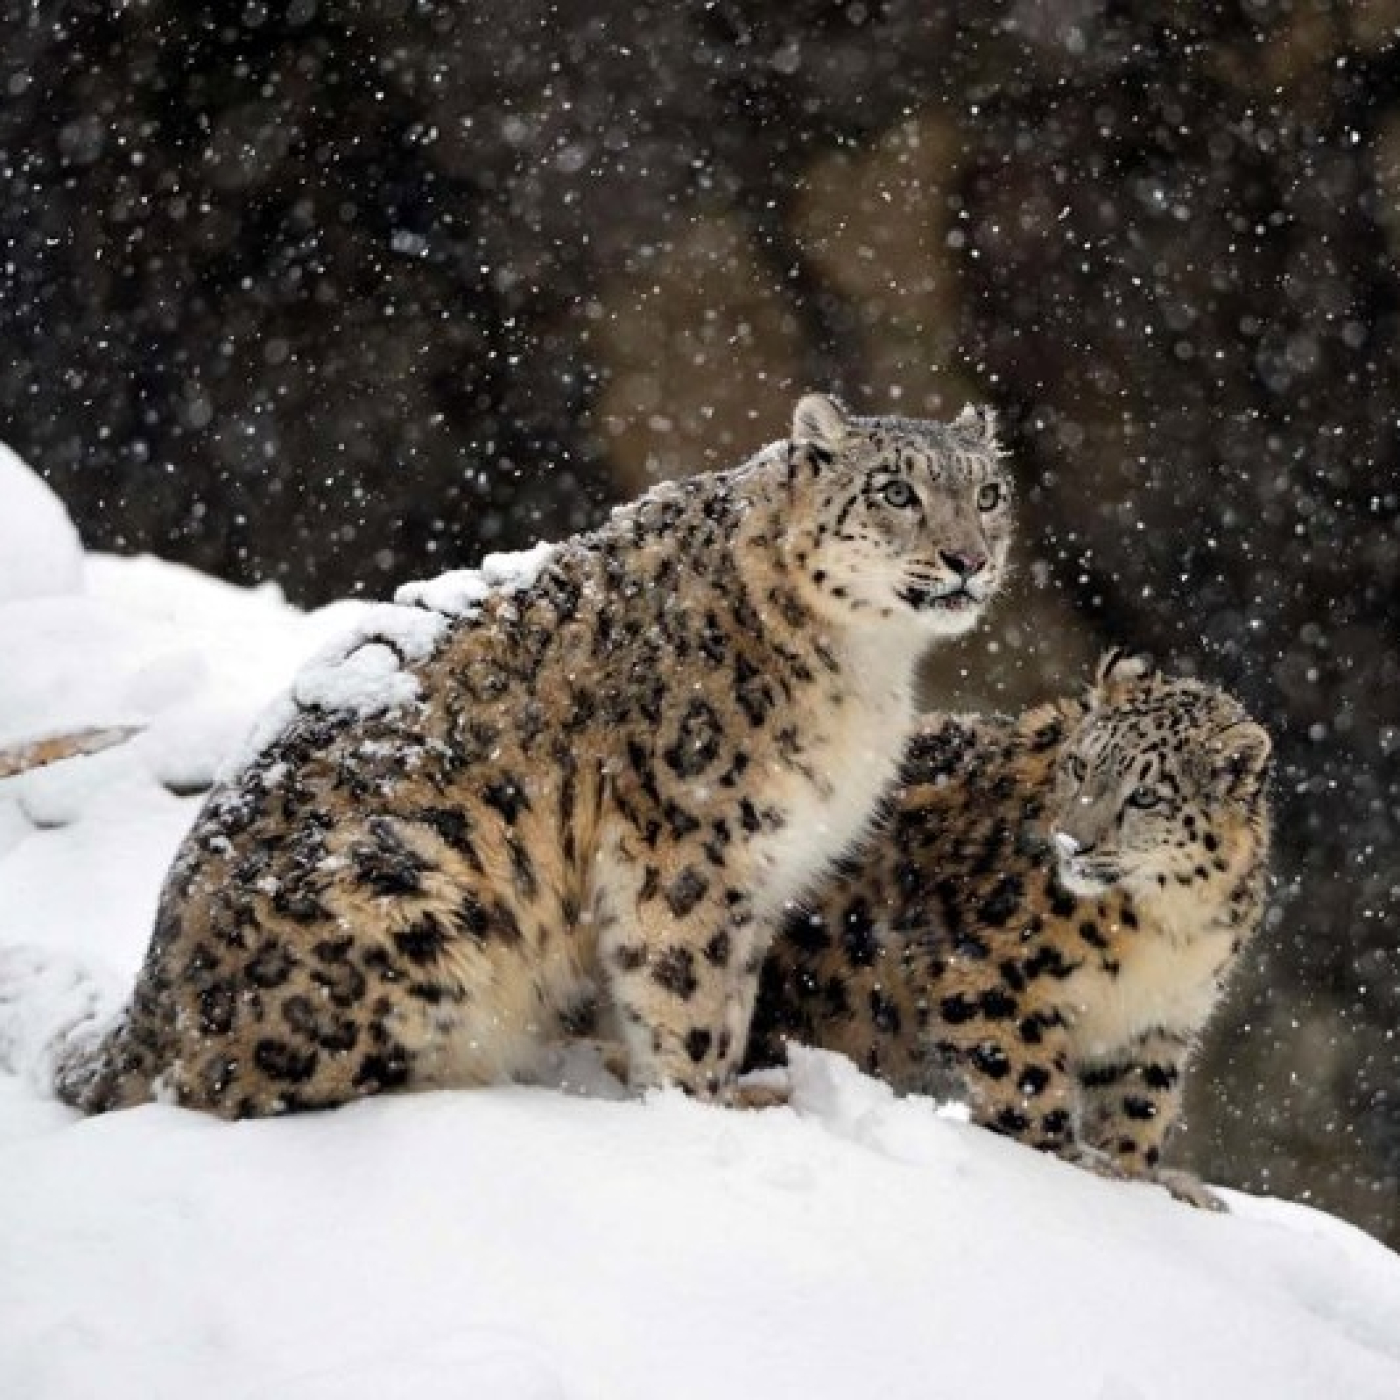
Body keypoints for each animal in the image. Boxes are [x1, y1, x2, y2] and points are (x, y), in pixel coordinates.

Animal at [49, 392, 1013, 1118]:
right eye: (894, 490)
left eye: (990, 492)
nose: (968, 558)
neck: (869, 669)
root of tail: (150, 1001)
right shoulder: (694, 848)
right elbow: (689, 1001)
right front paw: (711, 1109)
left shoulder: (764, 872)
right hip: (406, 892)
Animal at [747, 651, 1272, 1208]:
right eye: (1080, 765)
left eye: (1147, 796)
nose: (1071, 842)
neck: (1167, 928)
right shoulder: (987, 973)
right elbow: (1028, 1080)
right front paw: (1068, 1160)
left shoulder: (1159, 1022)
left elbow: (1140, 1105)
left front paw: (1137, 1180)